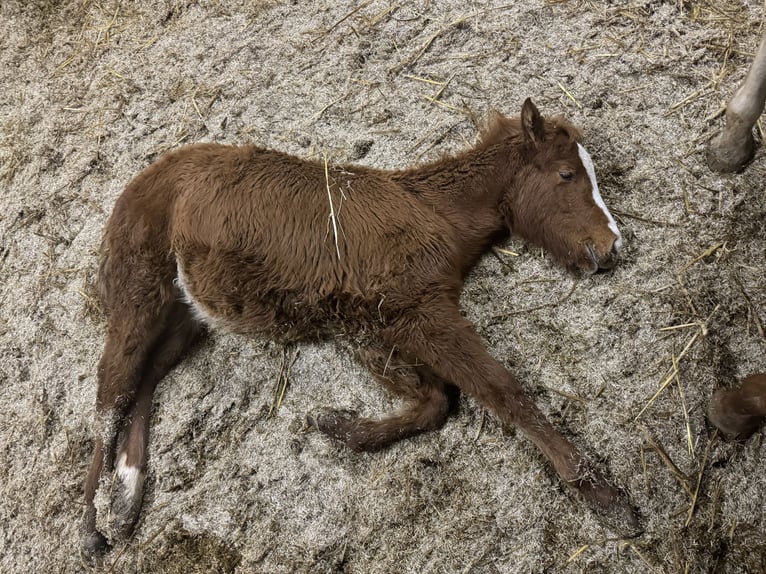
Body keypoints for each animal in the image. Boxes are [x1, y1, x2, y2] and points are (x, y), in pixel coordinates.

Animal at [82, 99, 636, 560]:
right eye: (567, 174)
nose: (612, 247)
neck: (434, 211)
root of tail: (142, 179)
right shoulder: (417, 312)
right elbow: (501, 391)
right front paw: (602, 493)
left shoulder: (373, 326)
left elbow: (436, 401)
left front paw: (337, 425)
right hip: (140, 292)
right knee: (111, 392)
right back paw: (93, 529)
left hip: (188, 314)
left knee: (145, 379)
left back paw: (125, 501)